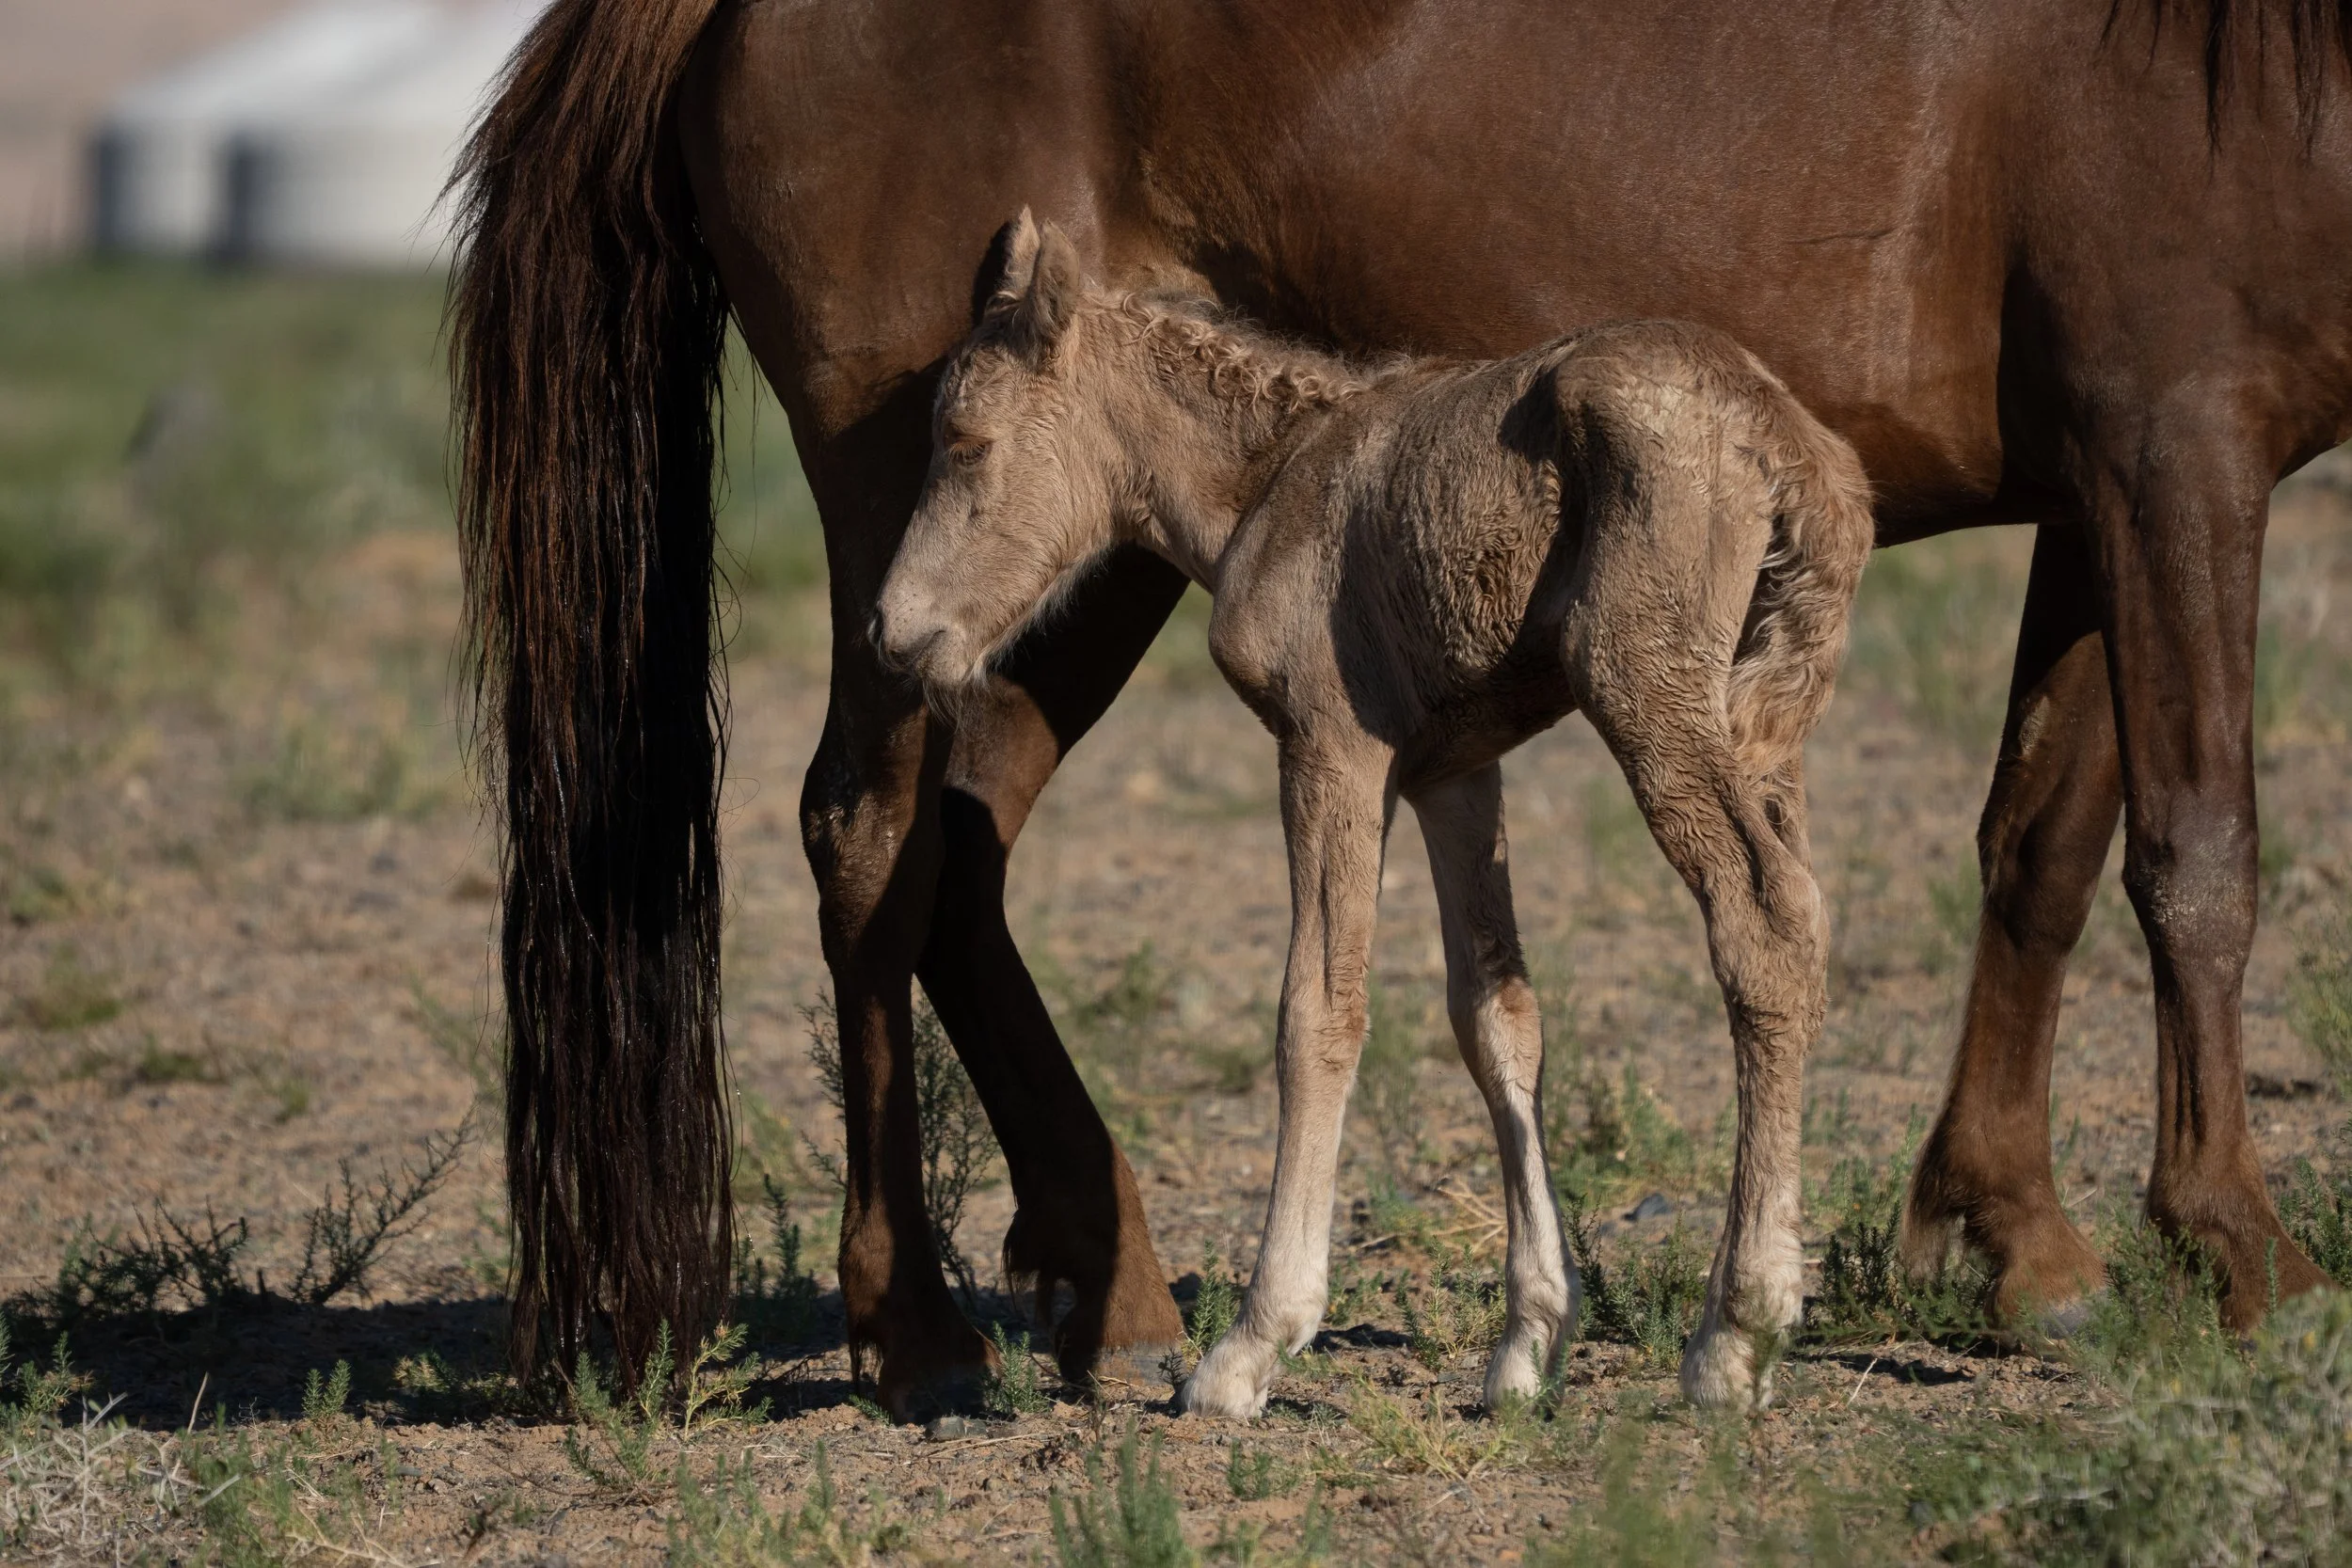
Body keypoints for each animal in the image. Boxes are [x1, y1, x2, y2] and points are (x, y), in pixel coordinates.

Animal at [874, 214, 1875, 1412]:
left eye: (965, 439)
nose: (892, 628)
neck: (1270, 475)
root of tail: (1789, 447)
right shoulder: (1455, 771)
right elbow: (1496, 1014)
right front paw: (1528, 1342)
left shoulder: (1331, 743)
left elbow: (1316, 1007)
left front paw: (1251, 1345)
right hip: (1762, 718)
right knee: (1800, 917)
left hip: (1645, 689)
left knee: (1759, 923)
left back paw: (1736, 1334)